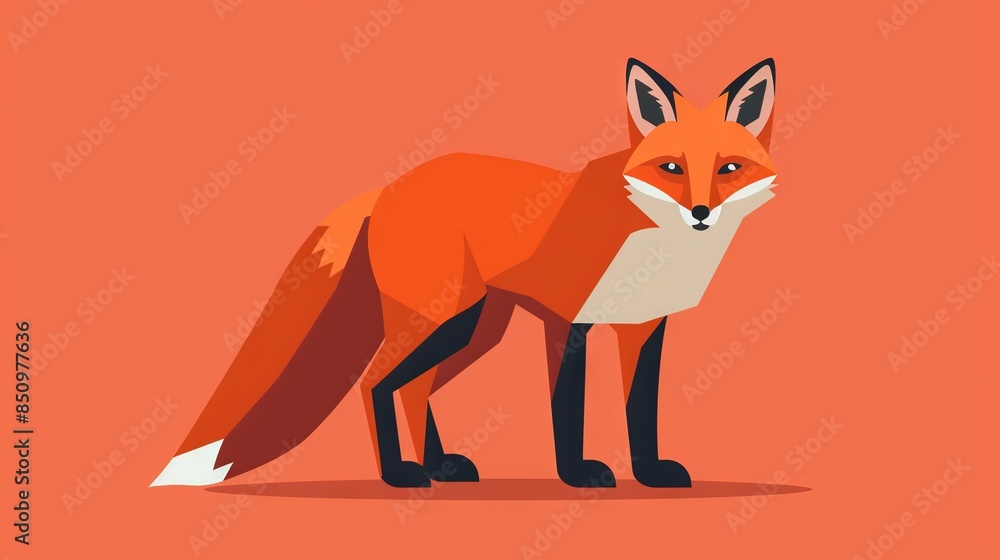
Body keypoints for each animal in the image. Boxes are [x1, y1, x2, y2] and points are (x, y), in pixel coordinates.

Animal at [152, 58, 778, 489]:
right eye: (670, 167)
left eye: (729, 168)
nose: (701, 212)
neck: (648, 242)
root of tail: (389, 187)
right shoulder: (567, 320)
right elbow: (568, 411)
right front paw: (577, 474)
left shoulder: (644, 327)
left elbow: (640, 412)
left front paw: (648, 474)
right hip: (443, 319)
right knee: (377, 382)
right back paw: (399, 475)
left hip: (474, 329)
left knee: (414, 387)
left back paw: (437, 465)